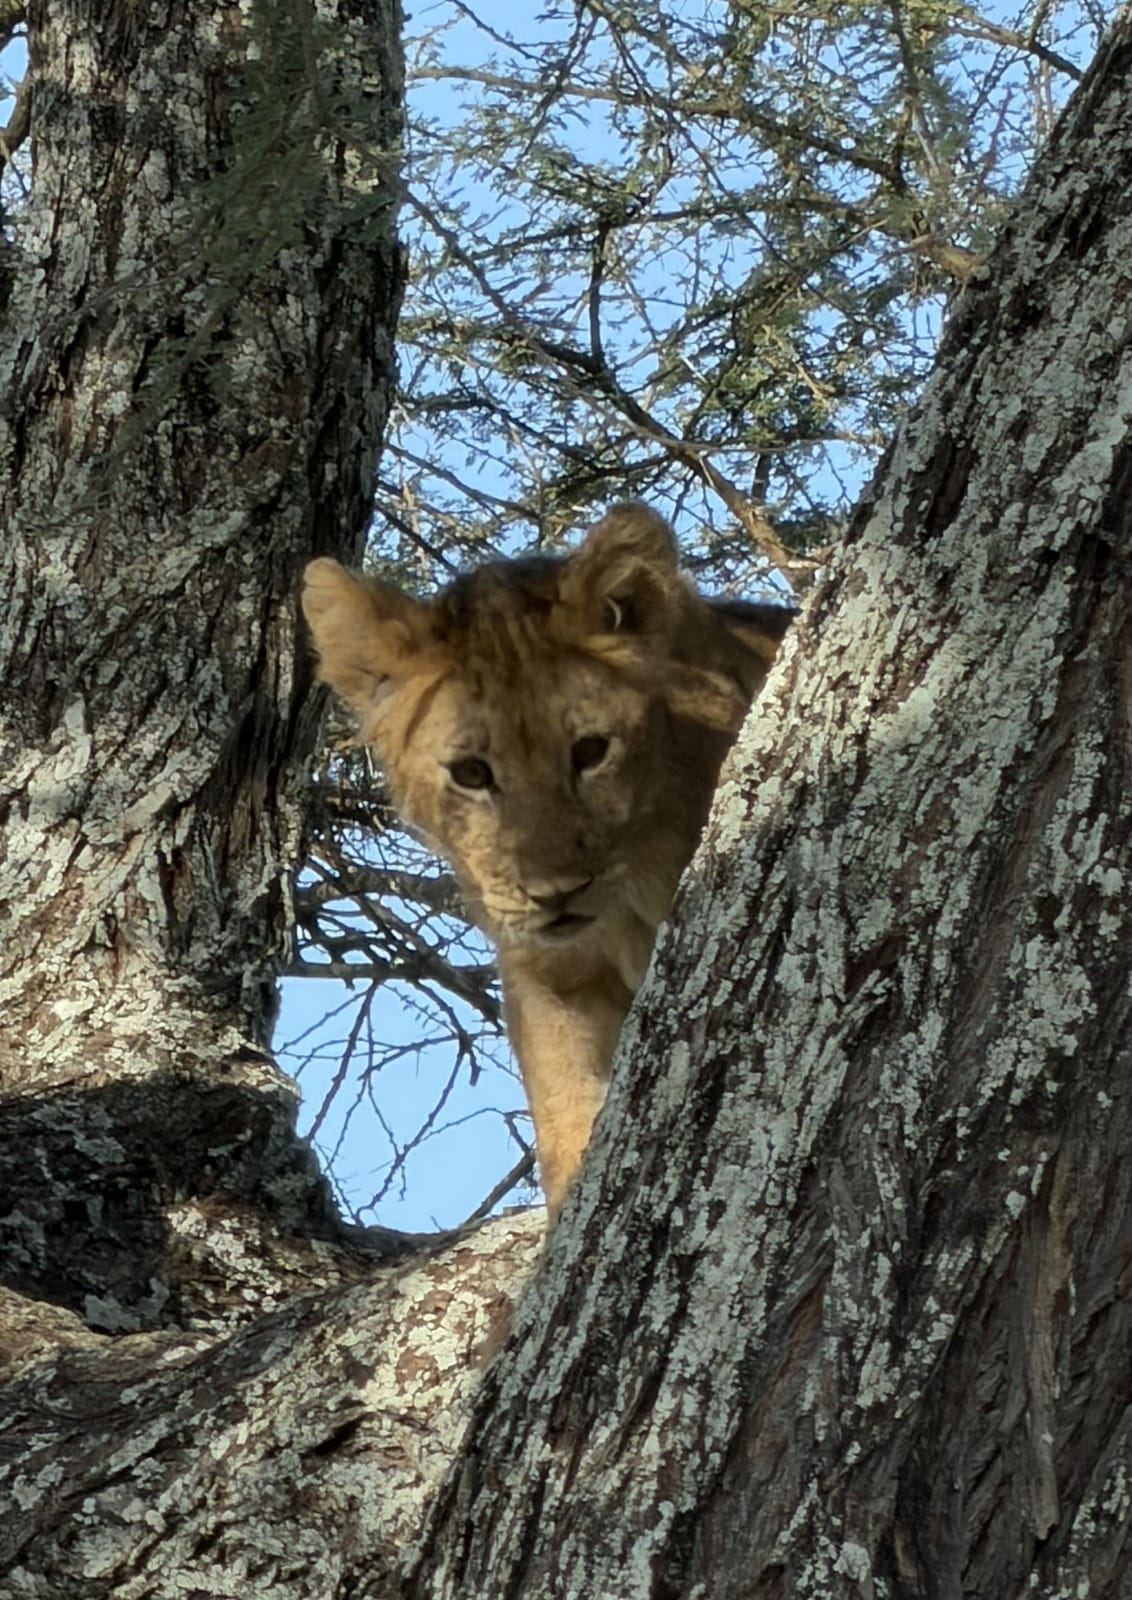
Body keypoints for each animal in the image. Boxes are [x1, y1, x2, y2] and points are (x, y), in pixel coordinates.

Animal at [301, 503, 793, 1221]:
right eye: (472, 773)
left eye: (590, 752)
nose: (555, 893)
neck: (629, 898)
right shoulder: (550, 974)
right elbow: (565, 1111)